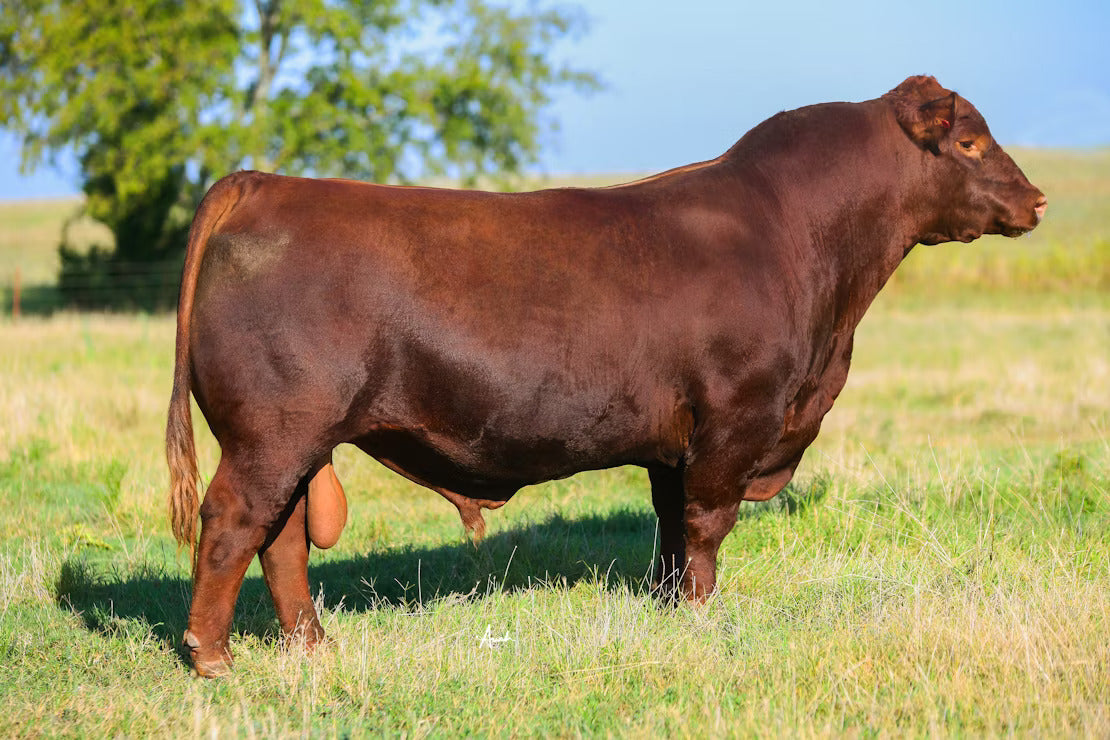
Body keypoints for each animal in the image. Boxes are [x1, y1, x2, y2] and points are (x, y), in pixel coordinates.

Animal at [167, 75, 1045, 676]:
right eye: (970, 145)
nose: (1036, 200)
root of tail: (267, 183)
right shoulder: (735, 421)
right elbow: (706, 526)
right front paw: (701, 617)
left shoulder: (675, 444)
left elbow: (669, 528)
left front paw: (666, 606)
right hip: (274, 433)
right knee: (235, 523)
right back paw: (213, 657)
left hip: (296, 440)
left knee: (282, 539)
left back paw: (313, 646)